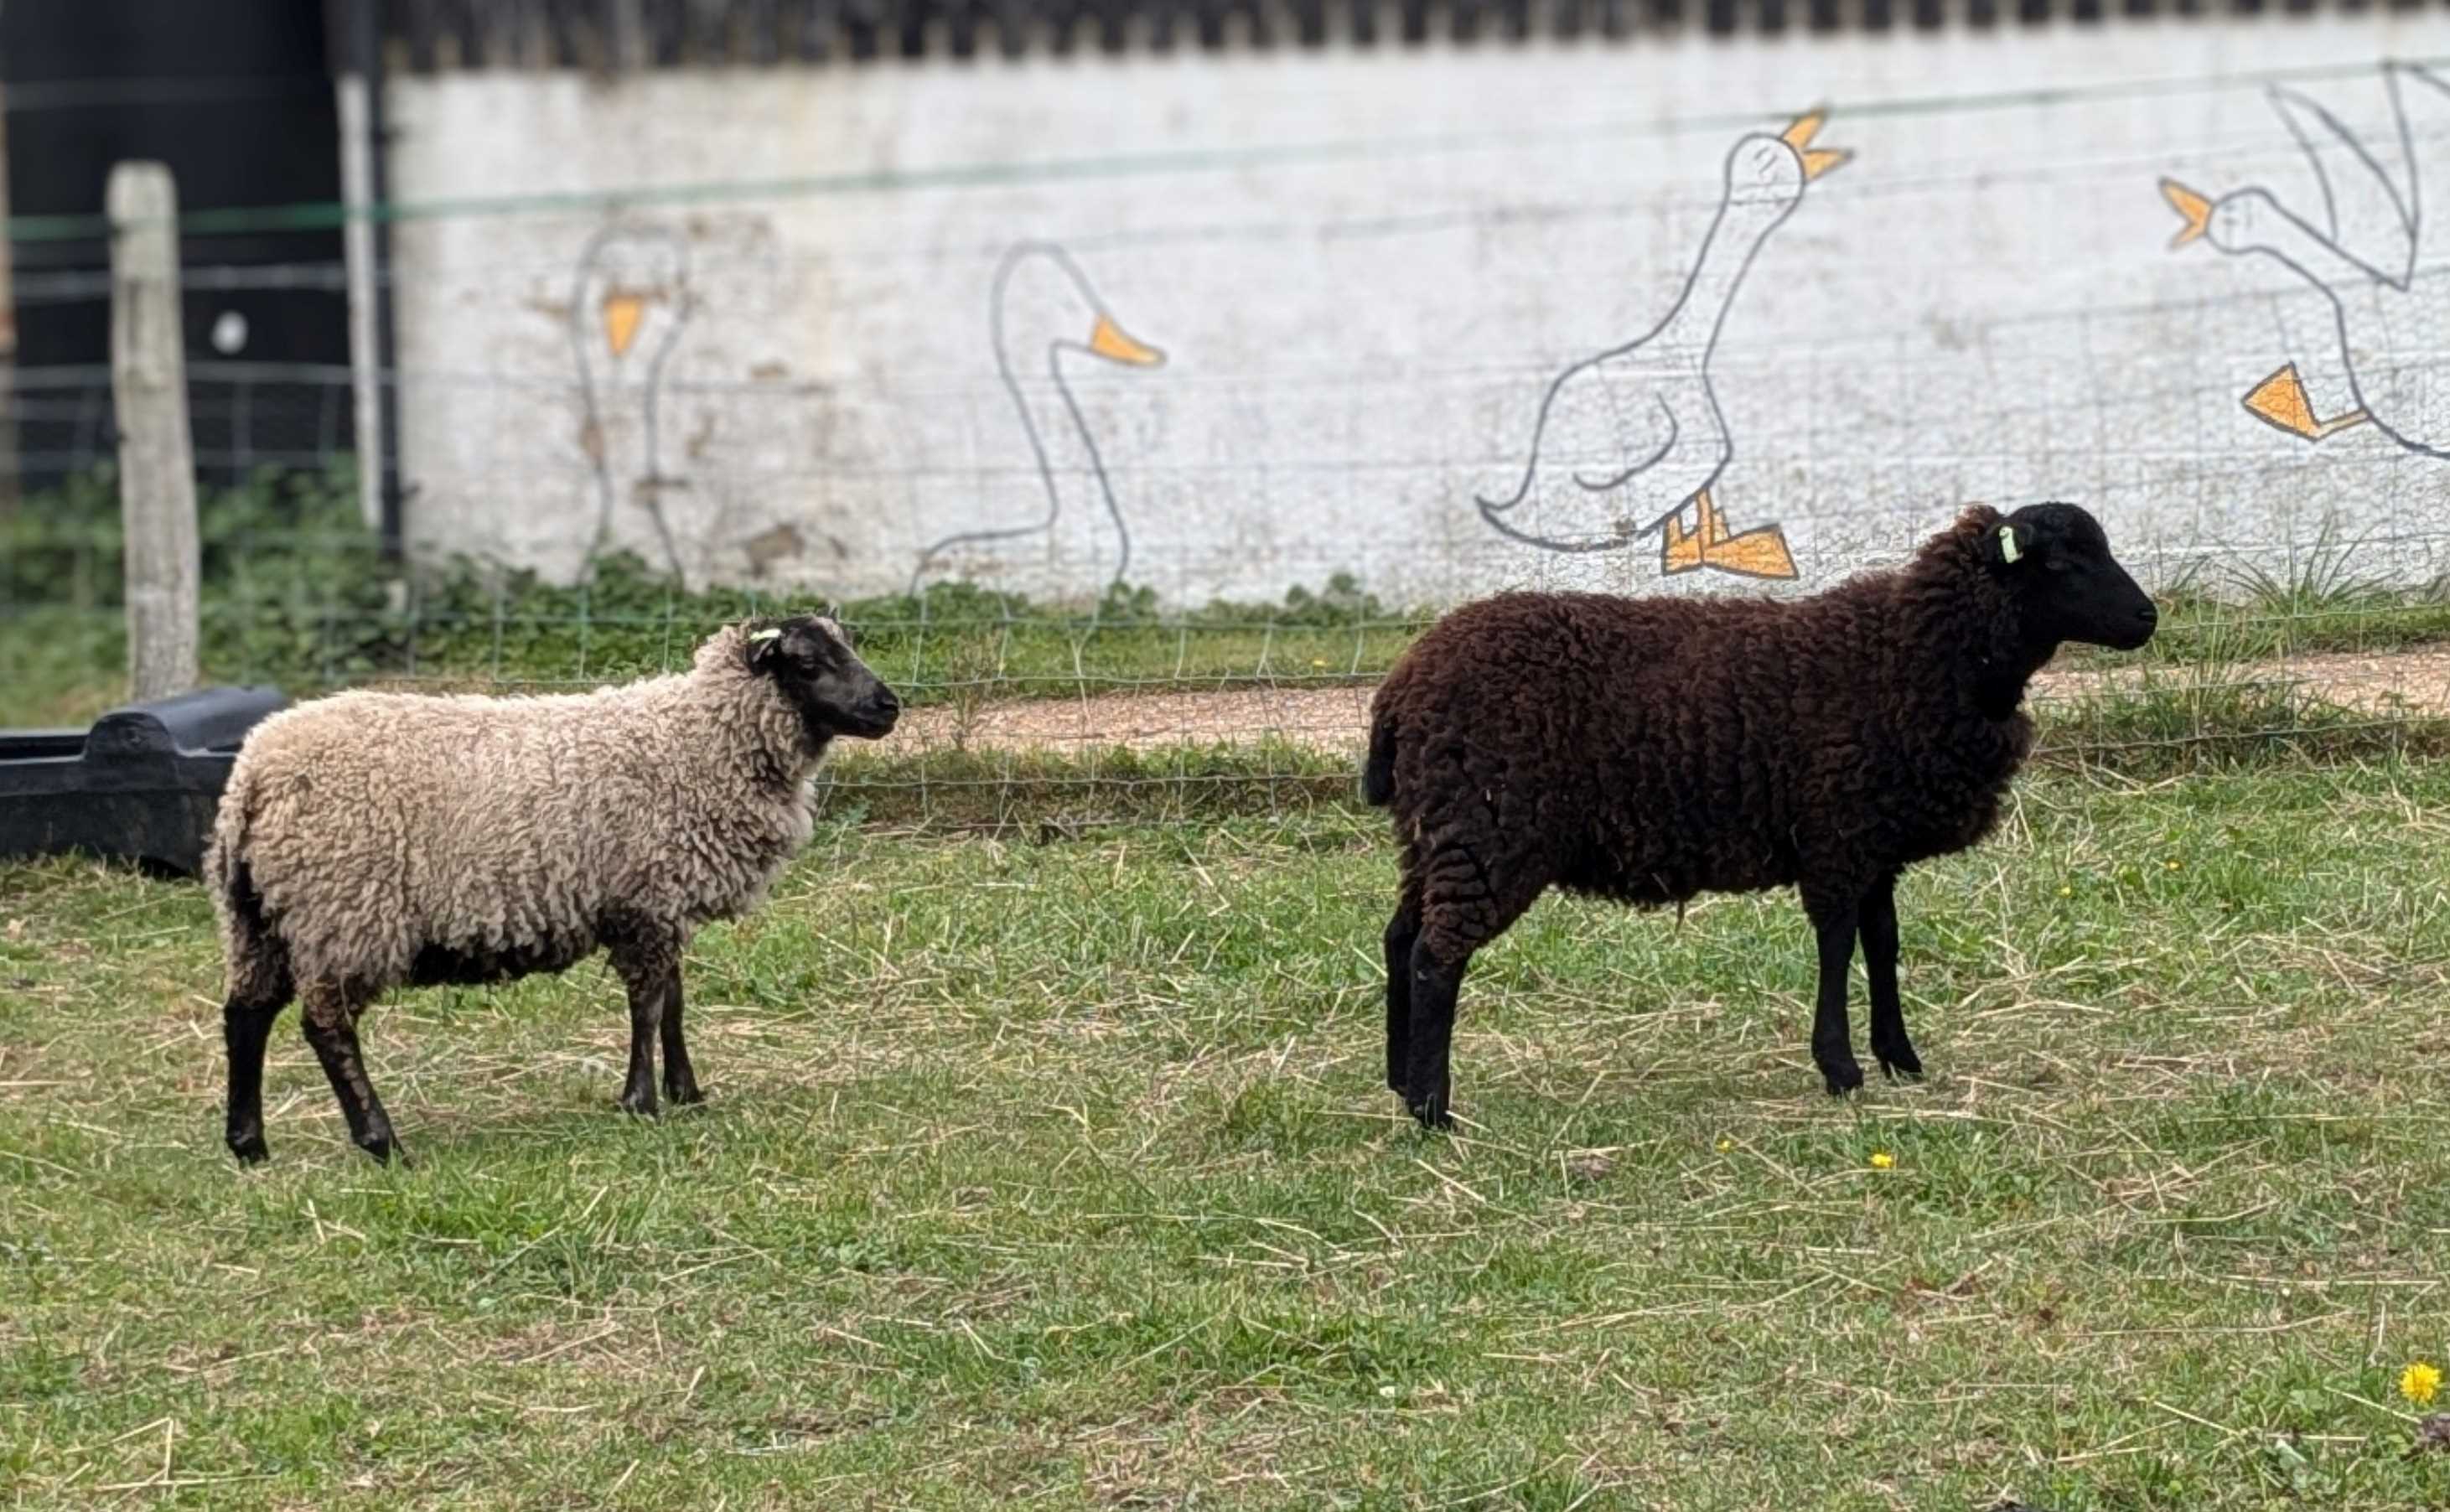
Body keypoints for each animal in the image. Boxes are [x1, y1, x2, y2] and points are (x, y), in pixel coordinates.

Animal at [208, 612, 901, 1166]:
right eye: (807, 663)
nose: (889, 706)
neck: (697, 741)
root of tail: (253, 776)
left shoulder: (660, 900)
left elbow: (673, 1004)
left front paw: (687, 1094)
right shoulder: (643, 899)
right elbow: (648, 1005)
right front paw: (641, 1101)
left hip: (259, 918)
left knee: (246, 1015)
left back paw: (249, 1145)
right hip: (346, 908)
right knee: (326, 1027)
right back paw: (382, 1142)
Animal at [1371, 502, 2156, 1126]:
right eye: (2061, 560)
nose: (2148, 617)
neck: (1916, 655)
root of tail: (1403, 684)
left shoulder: (1872, 842)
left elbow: (1883, 942)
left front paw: (1900, 1058)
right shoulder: (1835, 835)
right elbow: (1838, 945)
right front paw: (1840, 1069)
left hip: (1436, 833)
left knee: (1399, 939)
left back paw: (1400, 1082)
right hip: (1489, 829)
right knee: (1436, 956)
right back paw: (1433, 1111)